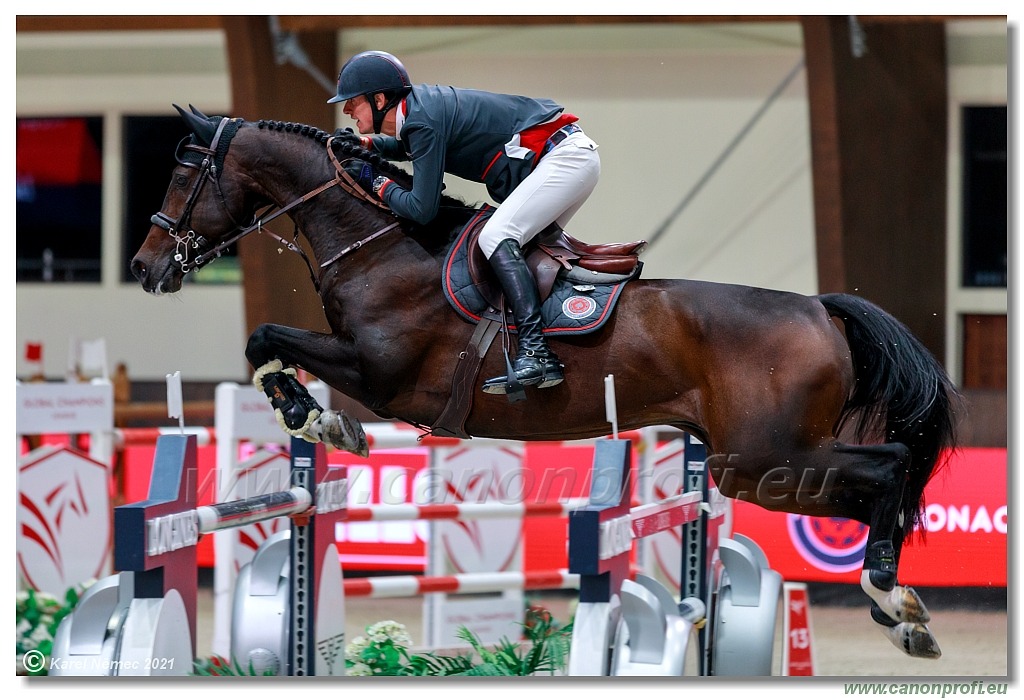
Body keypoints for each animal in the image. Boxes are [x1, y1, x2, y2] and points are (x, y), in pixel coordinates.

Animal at [130, 103, 958, 663]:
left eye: (183, 172)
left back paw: (890, 593)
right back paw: (899, 609)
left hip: (762, 461)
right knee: (873, 487)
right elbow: (266, 344)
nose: (144, 267)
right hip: (757, 465)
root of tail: (819, 307)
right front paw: (312, 416)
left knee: (887, 468)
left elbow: (267, 337)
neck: (377, 244)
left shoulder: (378, 373)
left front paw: (316, 417)